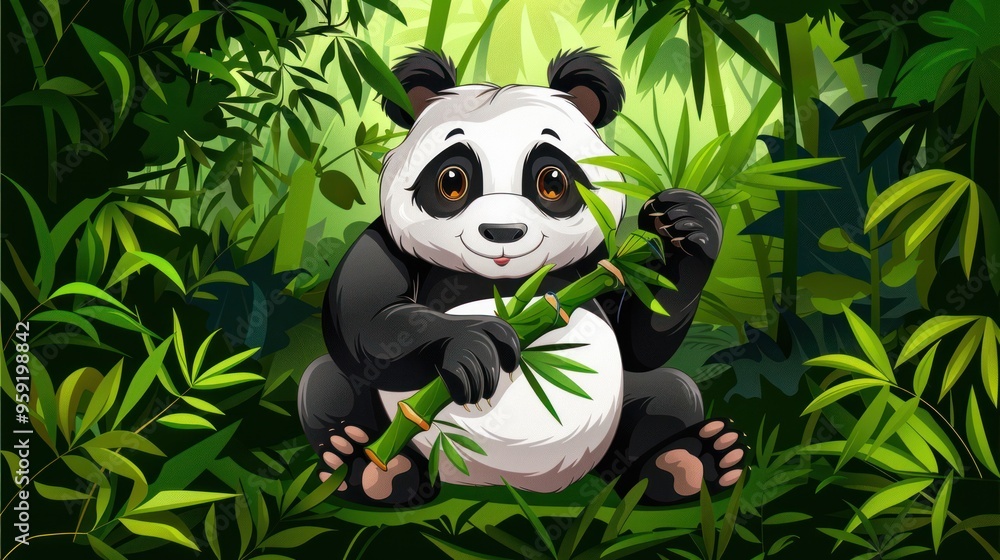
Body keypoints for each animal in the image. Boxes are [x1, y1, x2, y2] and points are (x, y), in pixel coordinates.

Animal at [298, 49, 745, 507]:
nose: (502, 233)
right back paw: (367, 469)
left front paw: (688, 224)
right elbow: (366, 325)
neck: (508, 282)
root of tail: (509, 486)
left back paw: (691, 463)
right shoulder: (384, 242)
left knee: (671, 392)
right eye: (452, 181)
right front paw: (473, 346)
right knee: (326, 384)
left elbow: (643, 342)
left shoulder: (601, 264)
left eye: (552, 181)